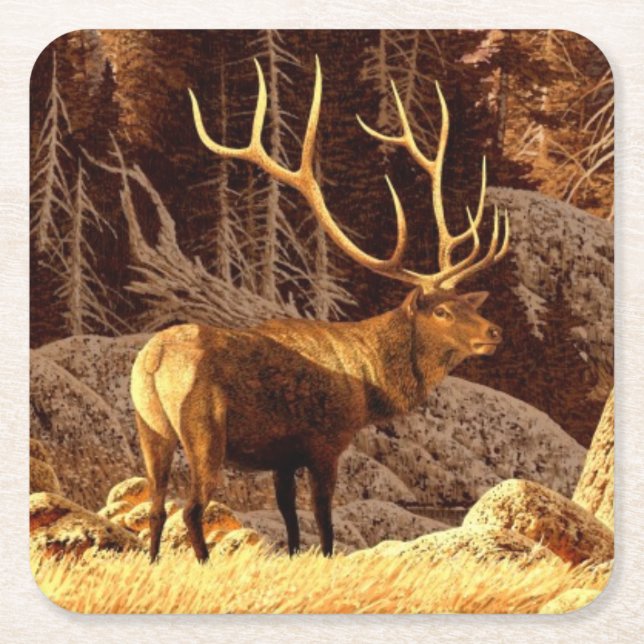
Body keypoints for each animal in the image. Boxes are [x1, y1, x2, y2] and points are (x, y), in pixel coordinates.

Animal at [130, 56, 510, 563]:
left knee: (156, 505)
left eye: (467, 303)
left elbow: (292, 523)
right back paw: (203, 566)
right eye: (442, 312)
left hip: (148, 428)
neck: (370, 384)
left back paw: (153, 562)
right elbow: (324, 522)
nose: (494, 332)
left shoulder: (283, 455)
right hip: (204, 429)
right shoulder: (324, 442)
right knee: (191, 509)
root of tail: (153, 361)